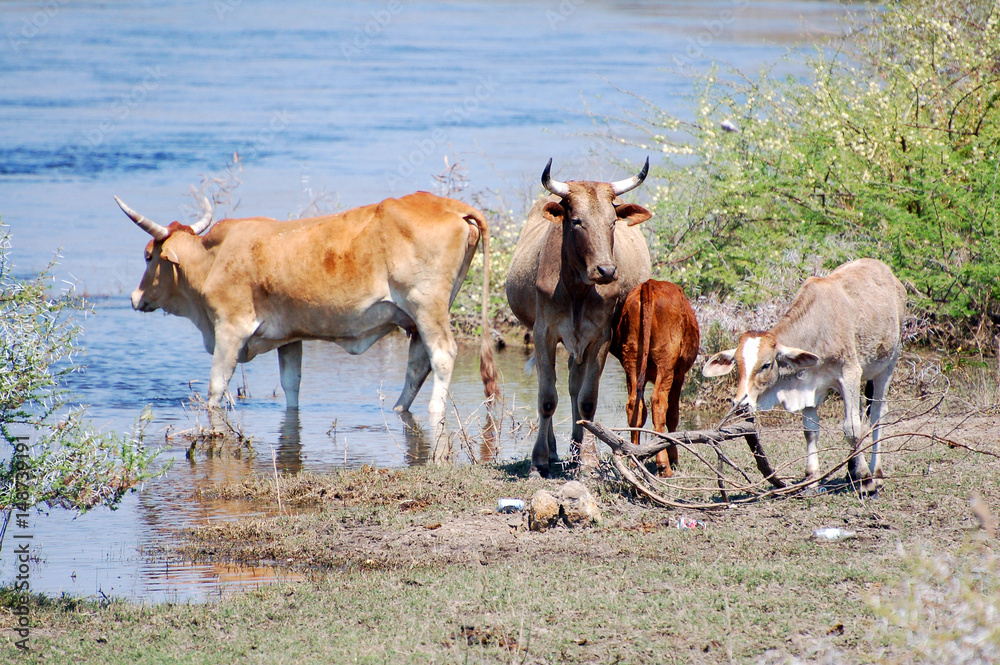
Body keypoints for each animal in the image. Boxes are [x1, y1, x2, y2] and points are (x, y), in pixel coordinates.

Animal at [115, 191, 499, 433]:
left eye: (149, 255)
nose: (135, 297)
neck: (213, 259)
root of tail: (448, 205)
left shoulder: (230, 330)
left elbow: (215, 388)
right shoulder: (289, 338)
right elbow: (291, 387)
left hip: (427, 306)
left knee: (443, 355)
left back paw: (434, 411)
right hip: (419, 317)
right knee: (418, 364)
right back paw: (397, 410)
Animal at [505, 158, 653, 477]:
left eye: (612, 222)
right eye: (576, 221)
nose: (607, 270)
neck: (576, 290)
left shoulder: (600, 336)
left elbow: (586, 401)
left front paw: (587, 460)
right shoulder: (543, 333)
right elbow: (547, 398)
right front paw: (538, 461)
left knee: (574, 385)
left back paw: (575, 449)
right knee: (552, 384)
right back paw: (554, 451)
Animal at [610, 280, 700, 477]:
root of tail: (649, 284)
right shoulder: (679, 376)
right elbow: (673, 414)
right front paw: (673, 456)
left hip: (632, 360)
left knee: (635, 405)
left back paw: (634, 459)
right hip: (665, 363)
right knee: (659, 403)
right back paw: (664, 465)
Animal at [701, 258, 906, 494]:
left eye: (766, 365)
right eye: (737, 364)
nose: (740, 403)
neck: (818, 329)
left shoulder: (850, 375)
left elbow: (852, 429)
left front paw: (865, 481)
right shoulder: (807, 385)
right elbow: (810, 431)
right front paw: (811, 479)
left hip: (888, 363)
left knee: (877, 415)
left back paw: (876, 474)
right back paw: (850, 471)